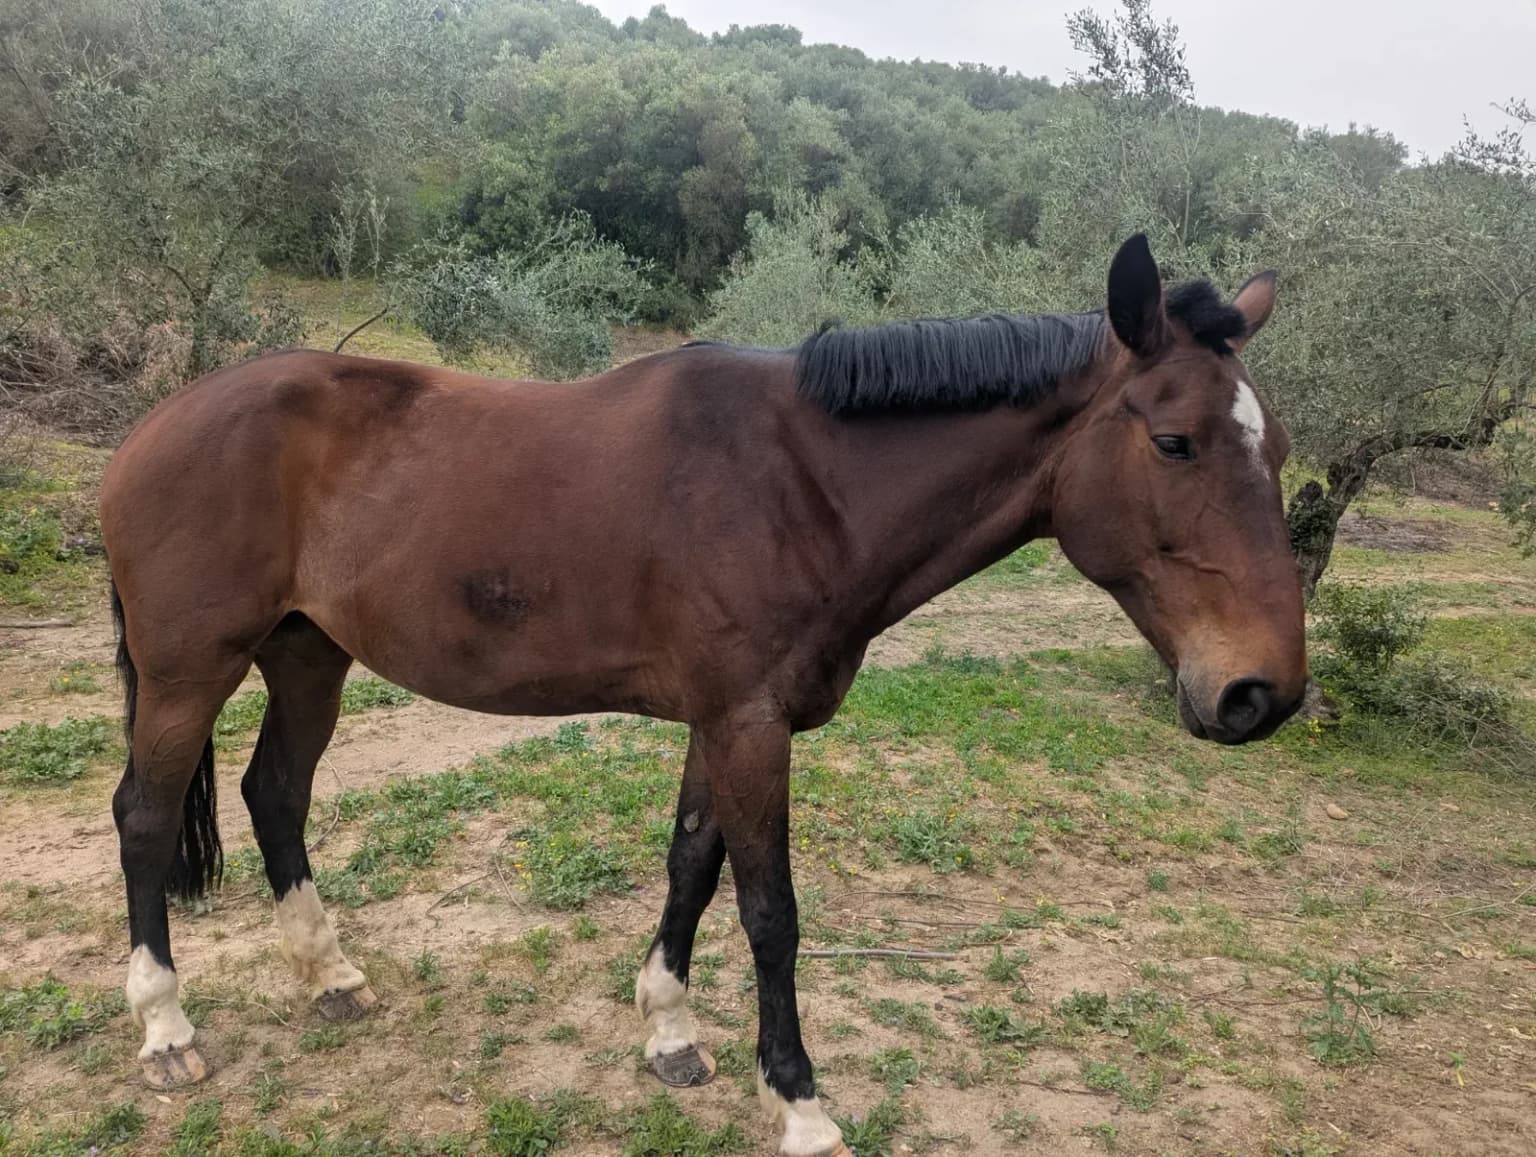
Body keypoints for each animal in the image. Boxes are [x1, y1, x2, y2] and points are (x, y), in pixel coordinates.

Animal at [101, 233, 1305, 1155]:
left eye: (1280, 446)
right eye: (1174, 441)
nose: (1262, 693)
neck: (803, 482)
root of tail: (151, 428)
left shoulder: (720, 723)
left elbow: (691, 861)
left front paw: (671, 1031)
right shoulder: (749, 726)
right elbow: (771, 910)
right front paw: (801, 1104)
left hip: (308, 655)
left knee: (275, 794)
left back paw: (330, 975)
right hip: (188, 671)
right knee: (146, 817)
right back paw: (165, 1030)